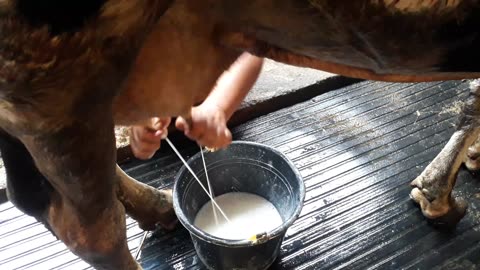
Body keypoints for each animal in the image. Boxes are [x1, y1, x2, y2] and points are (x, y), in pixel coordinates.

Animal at [0, 0, 480, 268]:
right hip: (63, 80)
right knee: (88, 230)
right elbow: (473, 103)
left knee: (34, 196)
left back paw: (158, 206)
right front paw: (439, 197)